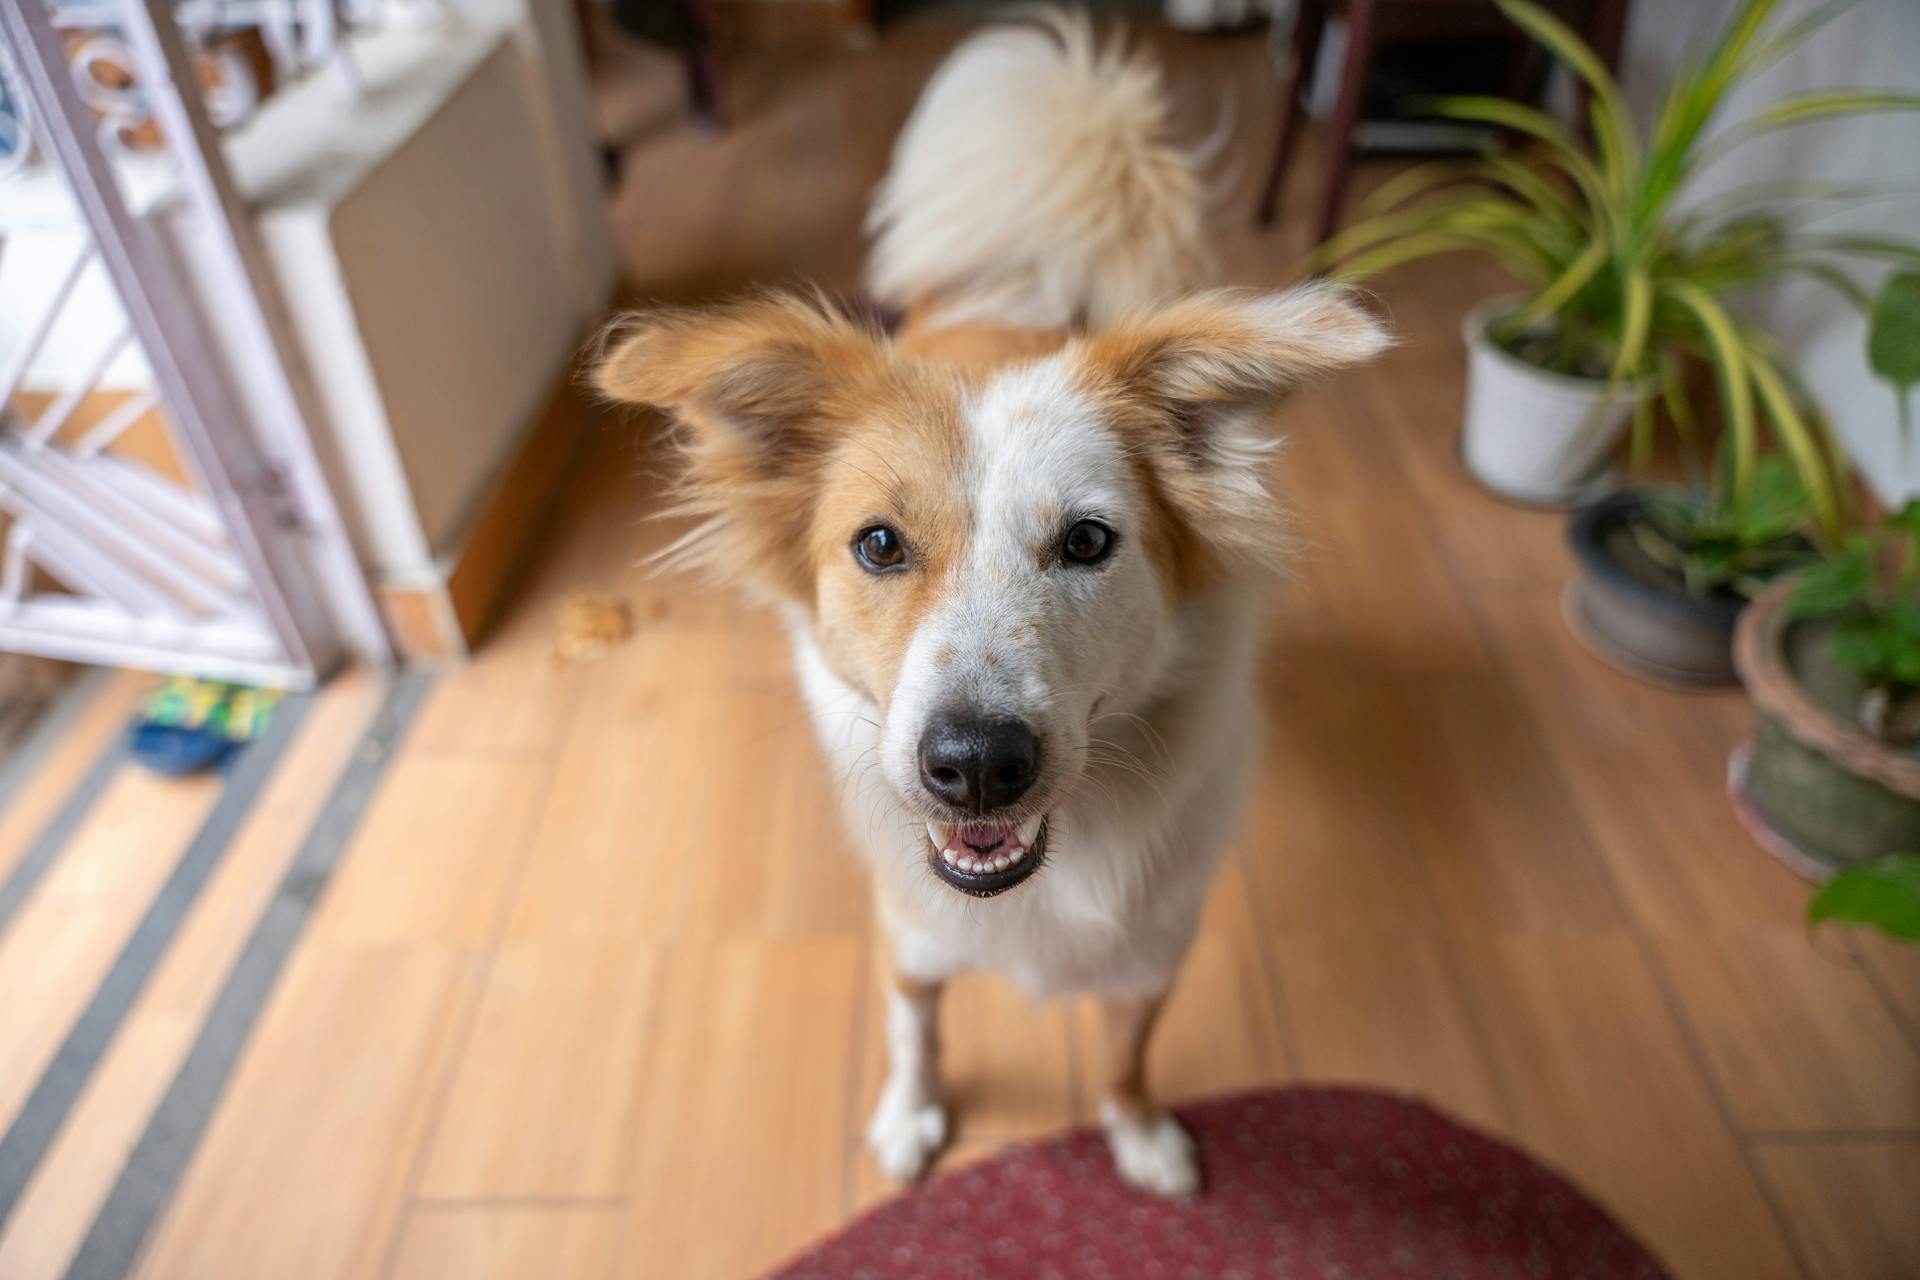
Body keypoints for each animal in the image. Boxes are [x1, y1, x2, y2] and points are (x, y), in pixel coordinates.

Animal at [591, 10, 1390, 1197]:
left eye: (1088, 541)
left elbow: (1127, 1049)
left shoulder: (1157, 944)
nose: (973, 766)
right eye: (879, 544)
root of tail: (1022, 289)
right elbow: (916, 1028)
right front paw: (911, 1117)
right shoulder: (910, 932)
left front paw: (1139, 1134)